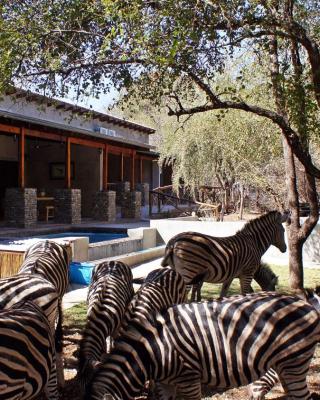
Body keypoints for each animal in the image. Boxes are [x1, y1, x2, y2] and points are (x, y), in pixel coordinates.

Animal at [78, 260, 134, 390]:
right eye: (79, 384)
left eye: (89, 385)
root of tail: (113, 261)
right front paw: (103, 352)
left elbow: (113, 336)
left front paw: (111, 349)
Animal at [85, 290, 320, 400]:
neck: (152, 351)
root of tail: (306, 303)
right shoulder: (164, 383)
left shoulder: (189, 378)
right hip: (285, 364)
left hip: (293, 362)